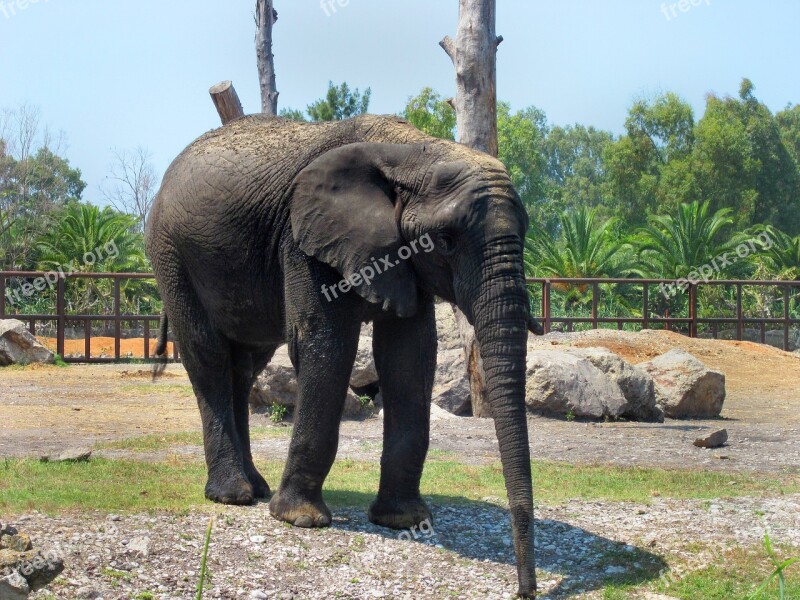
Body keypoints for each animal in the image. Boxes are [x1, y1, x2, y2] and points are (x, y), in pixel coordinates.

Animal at [147, 115, 540, 596]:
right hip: (171, 254)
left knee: (245, 365)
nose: (524, 590)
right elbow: (325, 344)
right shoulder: (303, 239)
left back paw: (255, 489)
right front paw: (300, 520)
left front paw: (402, 520)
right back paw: (233, 496)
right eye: (445, 240)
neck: (413, 150)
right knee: (209, 356)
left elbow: (410, 354)